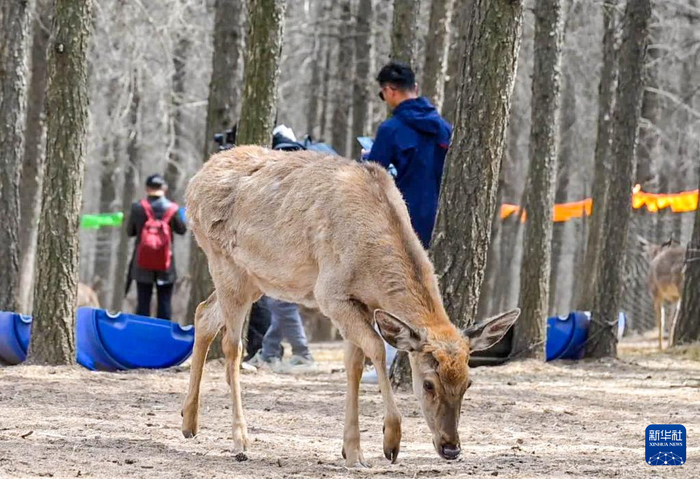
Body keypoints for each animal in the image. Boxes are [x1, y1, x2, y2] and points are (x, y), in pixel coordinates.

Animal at [180, 146, 520, 466]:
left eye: (468, 383)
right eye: (427, 384)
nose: (451, 448)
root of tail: (193, 183)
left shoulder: (362, 303)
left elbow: (353, 362)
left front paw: (351, 451)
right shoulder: (330, 293)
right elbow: (377, 349)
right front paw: (389, 442)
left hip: (253, 279)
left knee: (203, 313)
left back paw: (188, 423)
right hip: (224, 262)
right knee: (232, 345)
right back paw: (240, 441)